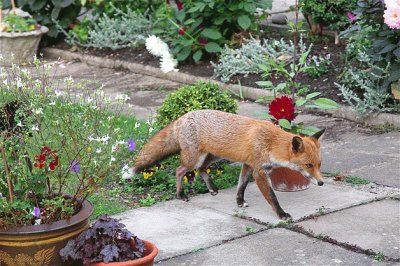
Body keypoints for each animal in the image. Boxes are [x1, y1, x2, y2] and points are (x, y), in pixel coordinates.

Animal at [131, 109, 324, 219]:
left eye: (319, 164)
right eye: (308, 165)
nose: (321, 183)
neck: (270, 143)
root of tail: (184, 116)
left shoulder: (248, 165)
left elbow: (241, 185)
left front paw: (239, 202)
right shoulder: (259, 172)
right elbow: (272, 197)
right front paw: (281, 214)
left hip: (216, 157)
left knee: (201, 168)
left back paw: (212, 188)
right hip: (195, 158)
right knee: (180, 170)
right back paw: (181, 194)